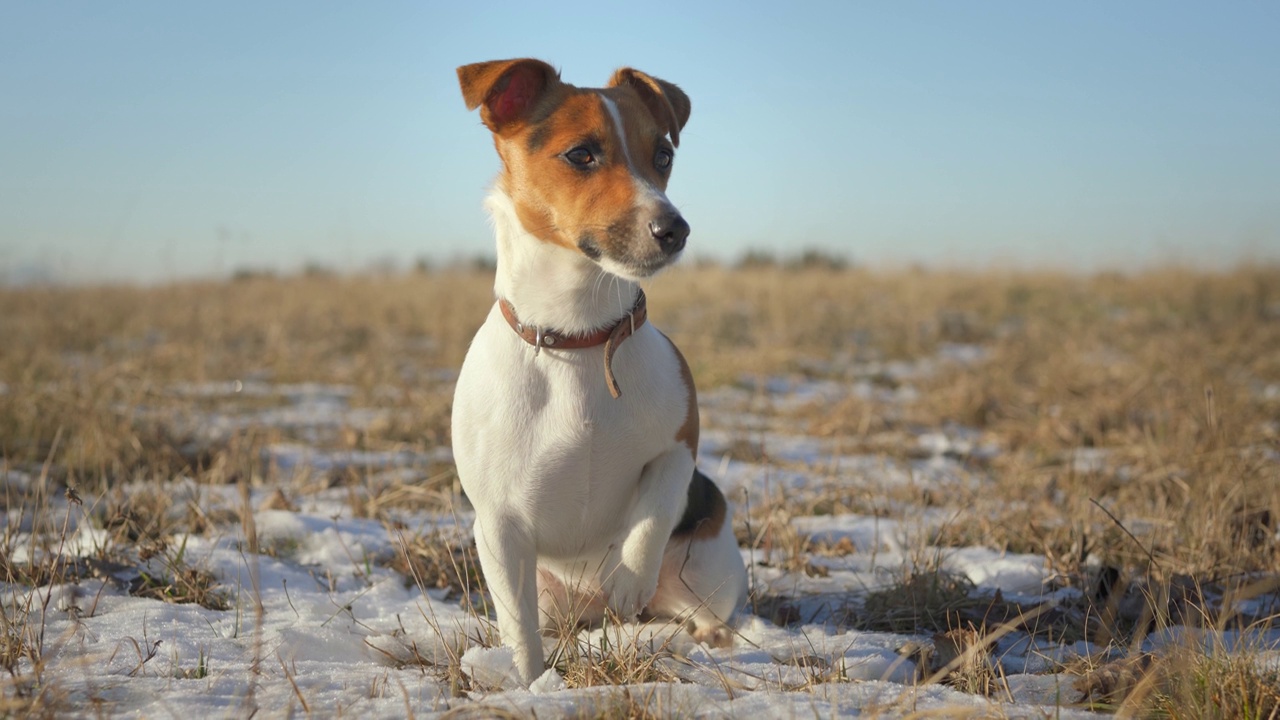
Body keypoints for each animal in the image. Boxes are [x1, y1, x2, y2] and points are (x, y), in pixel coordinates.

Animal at [453, 58, 747, 681]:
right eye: (581, 154)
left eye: (663, 155)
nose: (673, 229)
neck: (580, 336)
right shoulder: (499, 525)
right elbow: (519, 628)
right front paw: (531, 683)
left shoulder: (678, 445)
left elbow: (652, 514)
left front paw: (630, 577)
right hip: (550, 596)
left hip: (708, 572)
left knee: (705, 615)